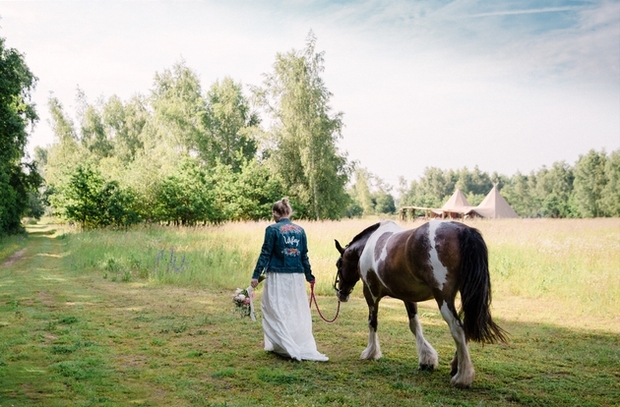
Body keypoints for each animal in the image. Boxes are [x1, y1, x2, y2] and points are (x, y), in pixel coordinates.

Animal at [336, 220, 506, 388]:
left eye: (339, 264)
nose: (341, 293)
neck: (369, 244)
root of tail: (462, 230)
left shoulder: (370, 294)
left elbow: (372, 323)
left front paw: (371, 353)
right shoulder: (408, 296)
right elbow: (415, 325)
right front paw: (426, 360)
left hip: (444, 299)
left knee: (457, 328)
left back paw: (462, 377)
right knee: (466, 326)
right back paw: (456, 366)